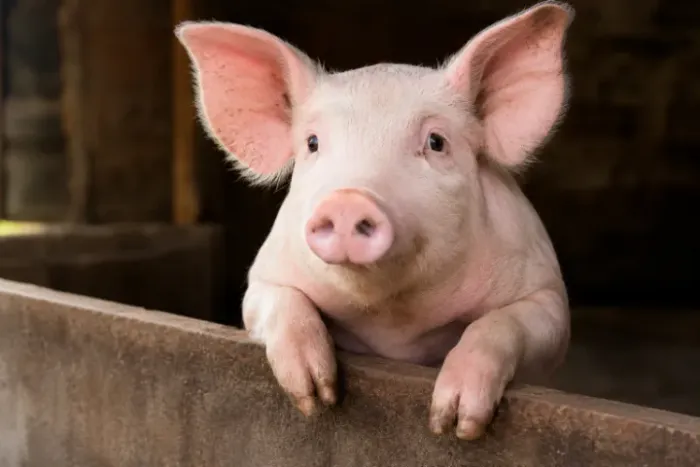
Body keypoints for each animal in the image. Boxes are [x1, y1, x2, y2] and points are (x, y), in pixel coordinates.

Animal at [176, 0, 574, 441]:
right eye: (312, 143)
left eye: (436, 142)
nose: (348, 200)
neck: (393, 321)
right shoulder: (265, 276)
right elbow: (277, 302)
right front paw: (315, 397)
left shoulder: (546, 295)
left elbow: (502, 323)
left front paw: (453, 423)